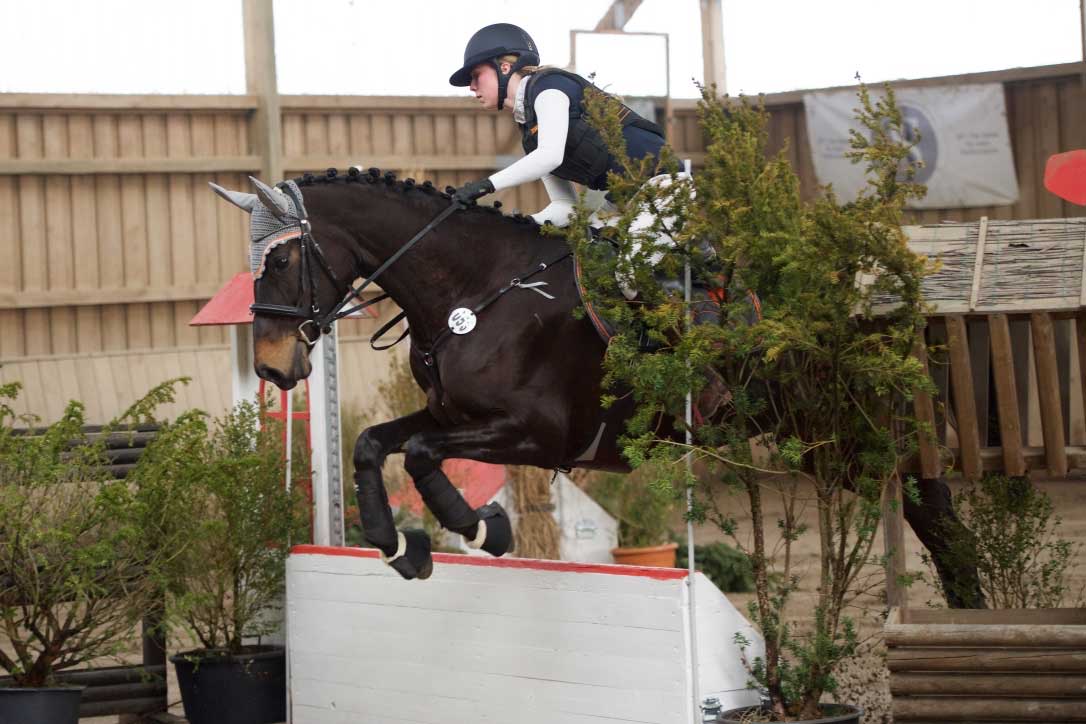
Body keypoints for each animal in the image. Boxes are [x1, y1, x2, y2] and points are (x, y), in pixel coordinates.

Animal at [209, 170, 986, 607]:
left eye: (281, 260)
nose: (274, 366)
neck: (475, 291)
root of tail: (893, 289)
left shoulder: (539, 432)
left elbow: (425, 456)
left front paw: (481, 528)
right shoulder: (449, 412)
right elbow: (375, 444)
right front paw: (399, 545)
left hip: (858, 434)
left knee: (938, 513)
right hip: (824, 446)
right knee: (927, 513)